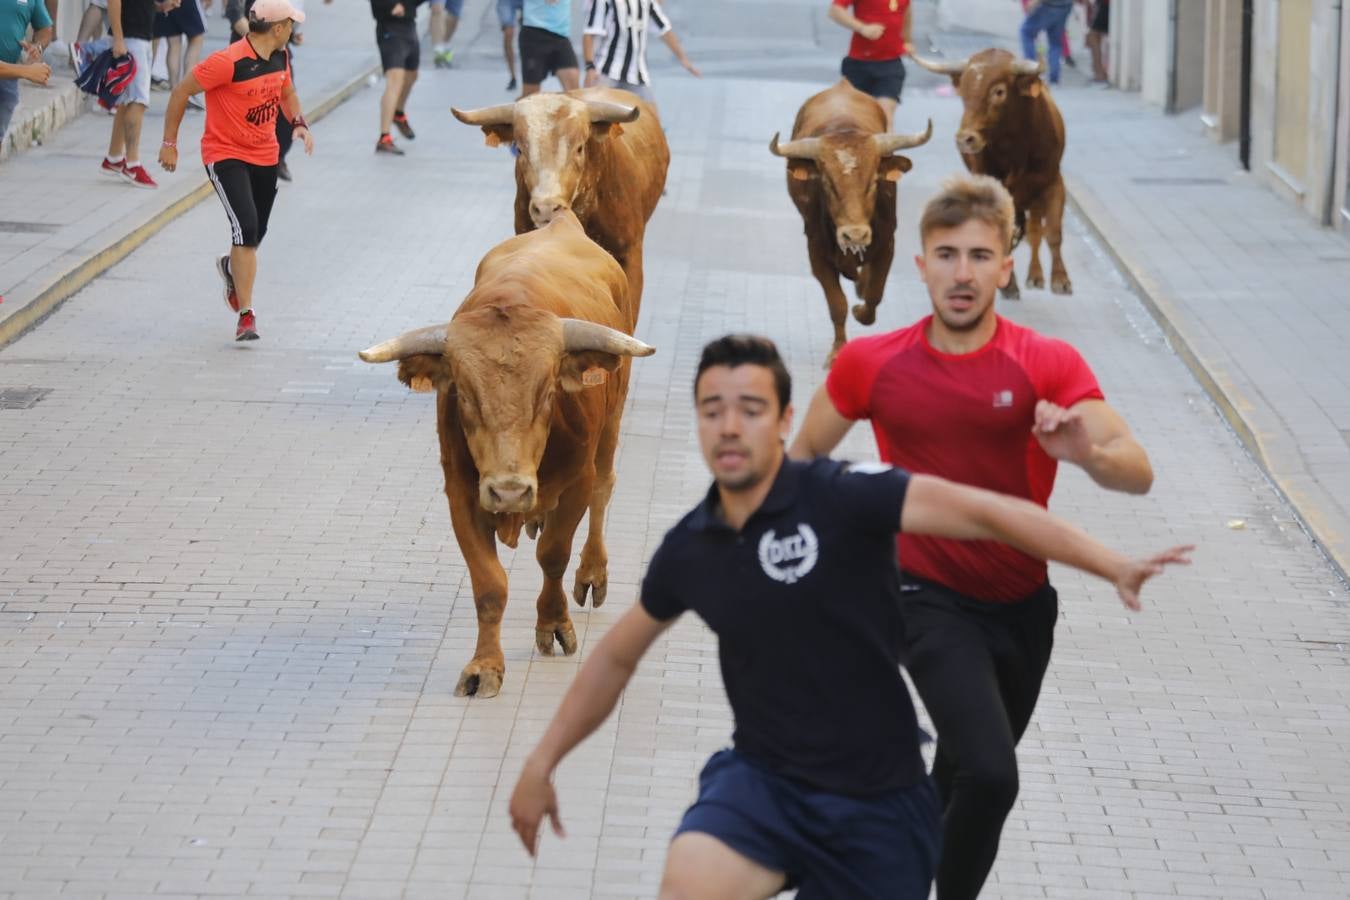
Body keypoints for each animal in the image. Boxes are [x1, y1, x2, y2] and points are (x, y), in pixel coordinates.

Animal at [766, 79, 934, 367]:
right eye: (826, 182)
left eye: (874, 182)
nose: (854, 235)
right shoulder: (816, 253)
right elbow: (837, 304)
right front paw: (837, 351)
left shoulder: (887, 244)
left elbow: (874, 294)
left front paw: (860, 308)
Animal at [912, 49, 1069, 296]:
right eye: (964, 90)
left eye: (999, 91)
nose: (965, 139)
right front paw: (1010, 284)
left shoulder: (1054, 182)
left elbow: (1053, 232)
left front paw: (1061, 279)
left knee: (1035, 231)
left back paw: (1035, 275)